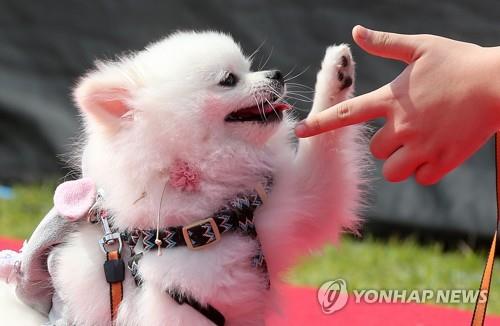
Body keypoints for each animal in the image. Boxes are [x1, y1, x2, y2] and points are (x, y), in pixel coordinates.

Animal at [0, 31, 368, 326]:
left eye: (248, 68)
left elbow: (325, 146)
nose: (276, 74)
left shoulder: (291, 207)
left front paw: (337, 73)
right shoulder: (177, 305)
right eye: (229, 79)